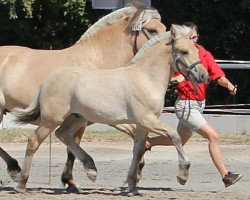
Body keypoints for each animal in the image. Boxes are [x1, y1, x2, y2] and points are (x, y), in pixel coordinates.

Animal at [0, 1, 166, 190]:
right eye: (152, 30)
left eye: (164, 27)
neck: (97, 60)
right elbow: (72, 147)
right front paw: (74, 178)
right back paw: (14, 168)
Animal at [12, 24, 210, 195]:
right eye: (184, 51)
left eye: (196, 50)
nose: (203, 75)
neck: (146, 78)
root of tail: (47, 80)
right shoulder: (147, 120)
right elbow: (175, 136)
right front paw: (183, 174)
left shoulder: (142, 125)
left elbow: (138, 150)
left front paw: (132, 186)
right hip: (52, 119)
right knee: (33, 141)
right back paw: (22, 183)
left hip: (78, 118)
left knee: (63, 135)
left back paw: (91, 169)